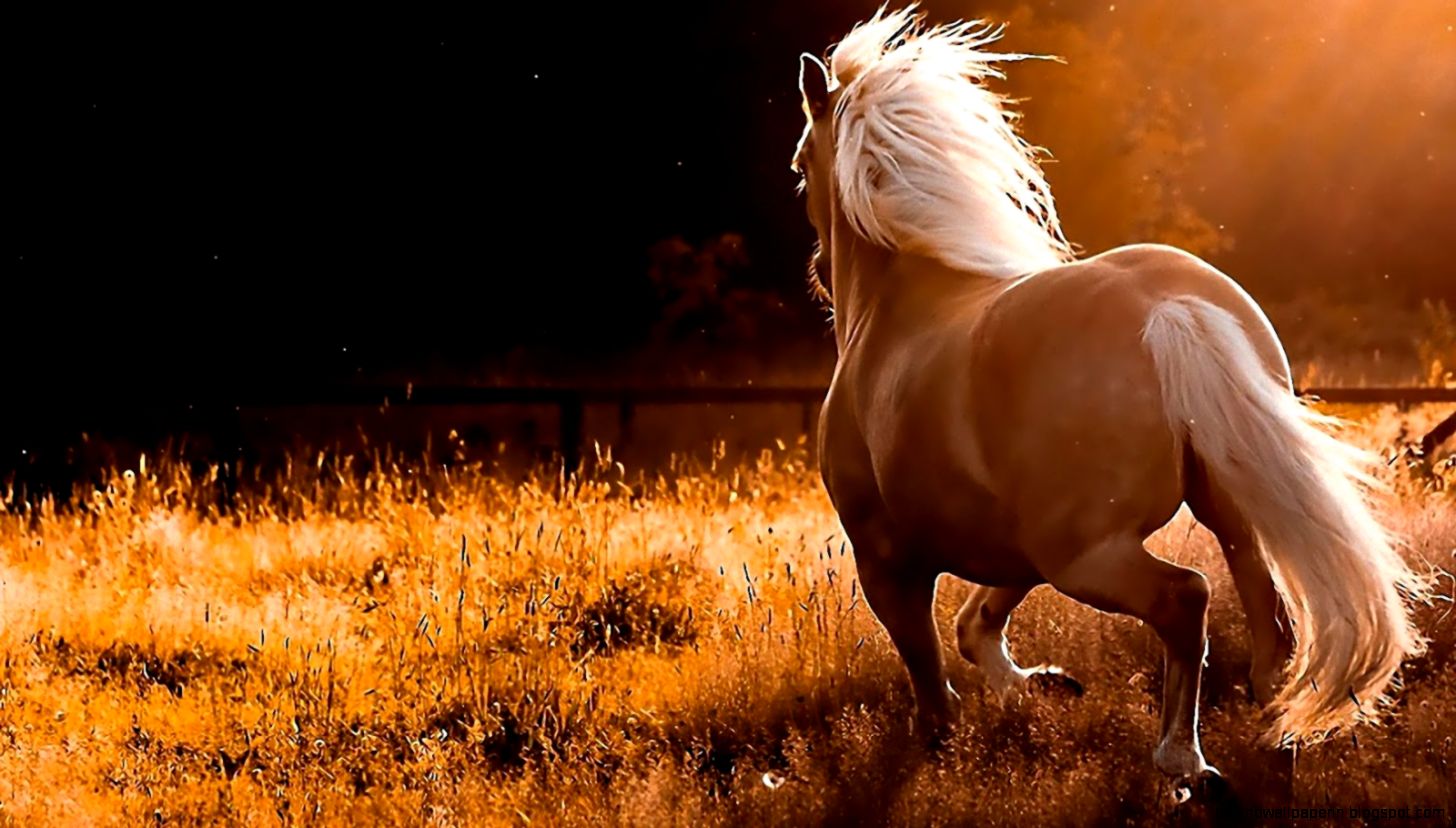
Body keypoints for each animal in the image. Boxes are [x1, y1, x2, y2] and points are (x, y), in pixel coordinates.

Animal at [791, 6, 1427, 787]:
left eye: (801, 167)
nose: (819, 275)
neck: (894, 308)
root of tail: (1168, 309)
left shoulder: (886, 556)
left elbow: (928, 670)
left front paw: (941, 745)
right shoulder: (1013, 545)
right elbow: (975, 626)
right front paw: (1039, 686)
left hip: (1087, 556)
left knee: (1186, 598)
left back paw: (1184, 761)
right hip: (1212, 514)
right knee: (1269, 618)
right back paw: (1273, 733)